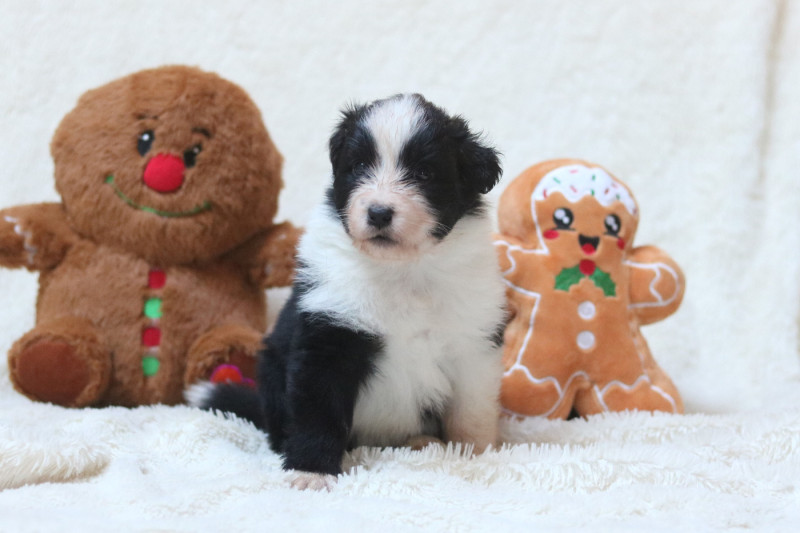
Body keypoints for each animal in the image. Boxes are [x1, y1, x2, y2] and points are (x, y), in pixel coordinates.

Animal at [187, 93, 506, 491]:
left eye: (424, 173)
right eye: (358, 166)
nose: (379, 213)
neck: (402, 269)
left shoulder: (472, 339)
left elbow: (471, 410)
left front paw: (473, 457)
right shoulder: (330, 334)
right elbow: (319, 413)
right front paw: (311, 472)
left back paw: (423, 442)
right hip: (272, 370)